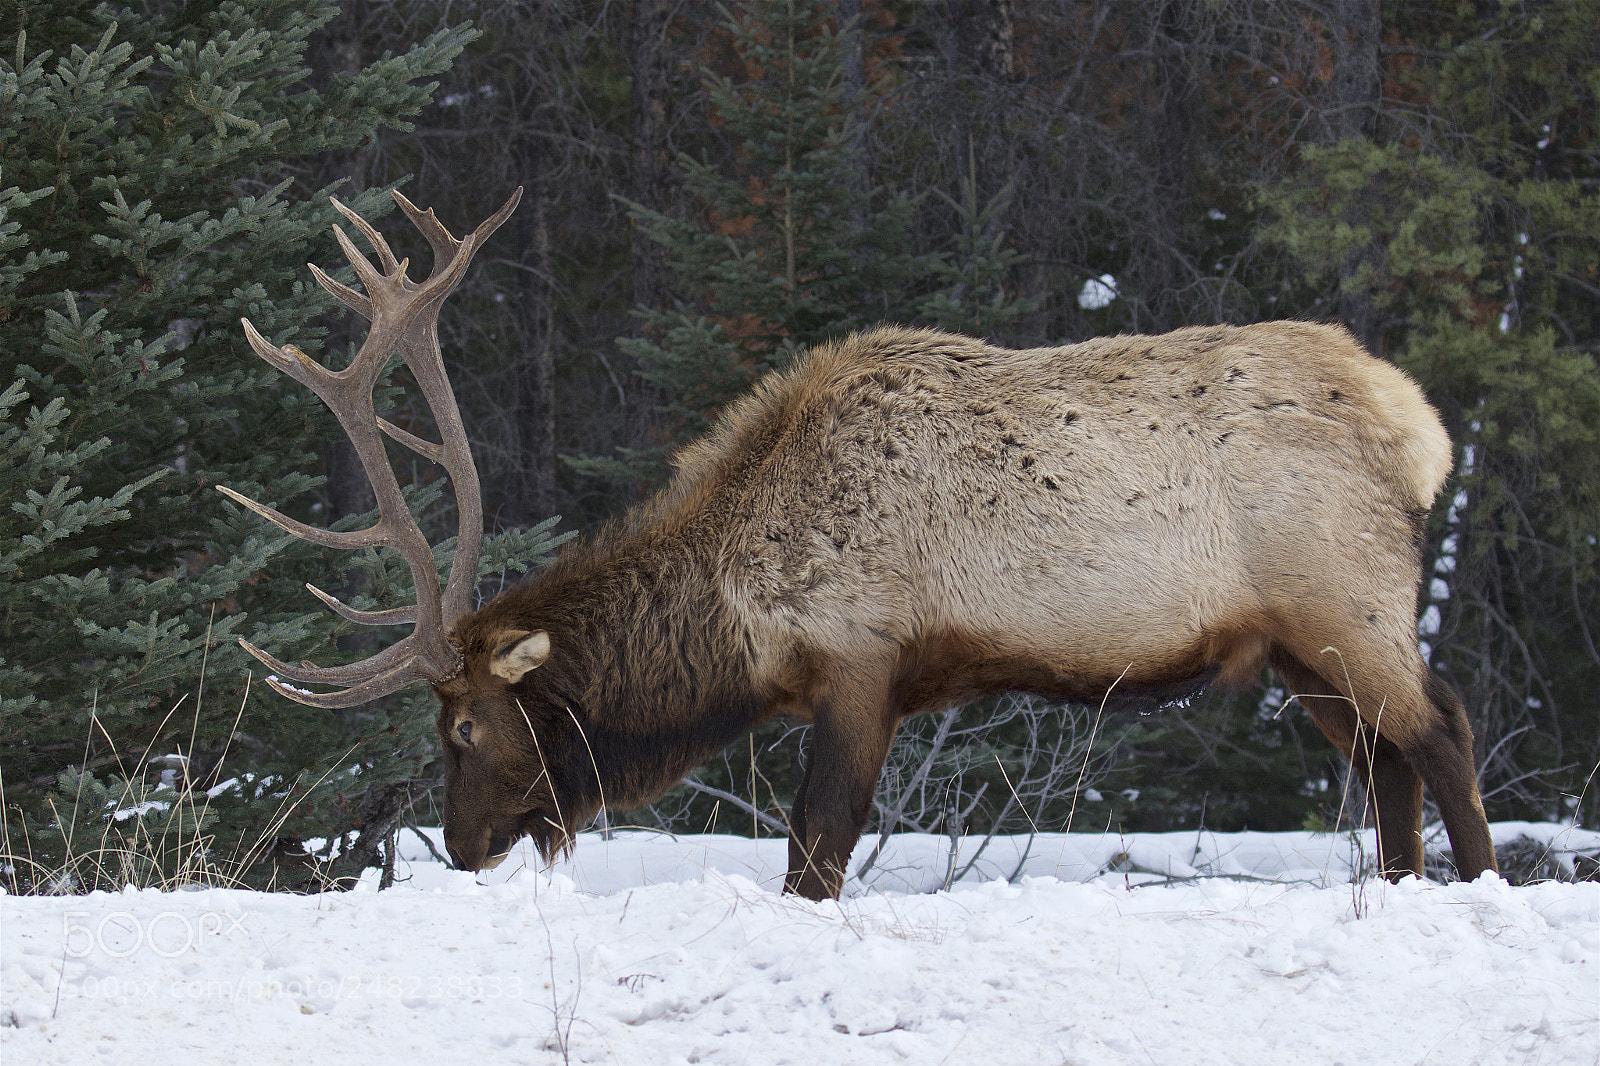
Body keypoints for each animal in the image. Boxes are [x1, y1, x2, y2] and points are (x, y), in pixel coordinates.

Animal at [222, 189, 1499, 901]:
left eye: (463, 727)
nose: (464, 842)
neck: (734, 616)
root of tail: (1418, 428)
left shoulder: (861, 659)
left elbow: (813, 855)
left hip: (1345, 601)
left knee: (1441, 728)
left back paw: (1478, 887)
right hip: (1295, 646)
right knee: (1383, 758)